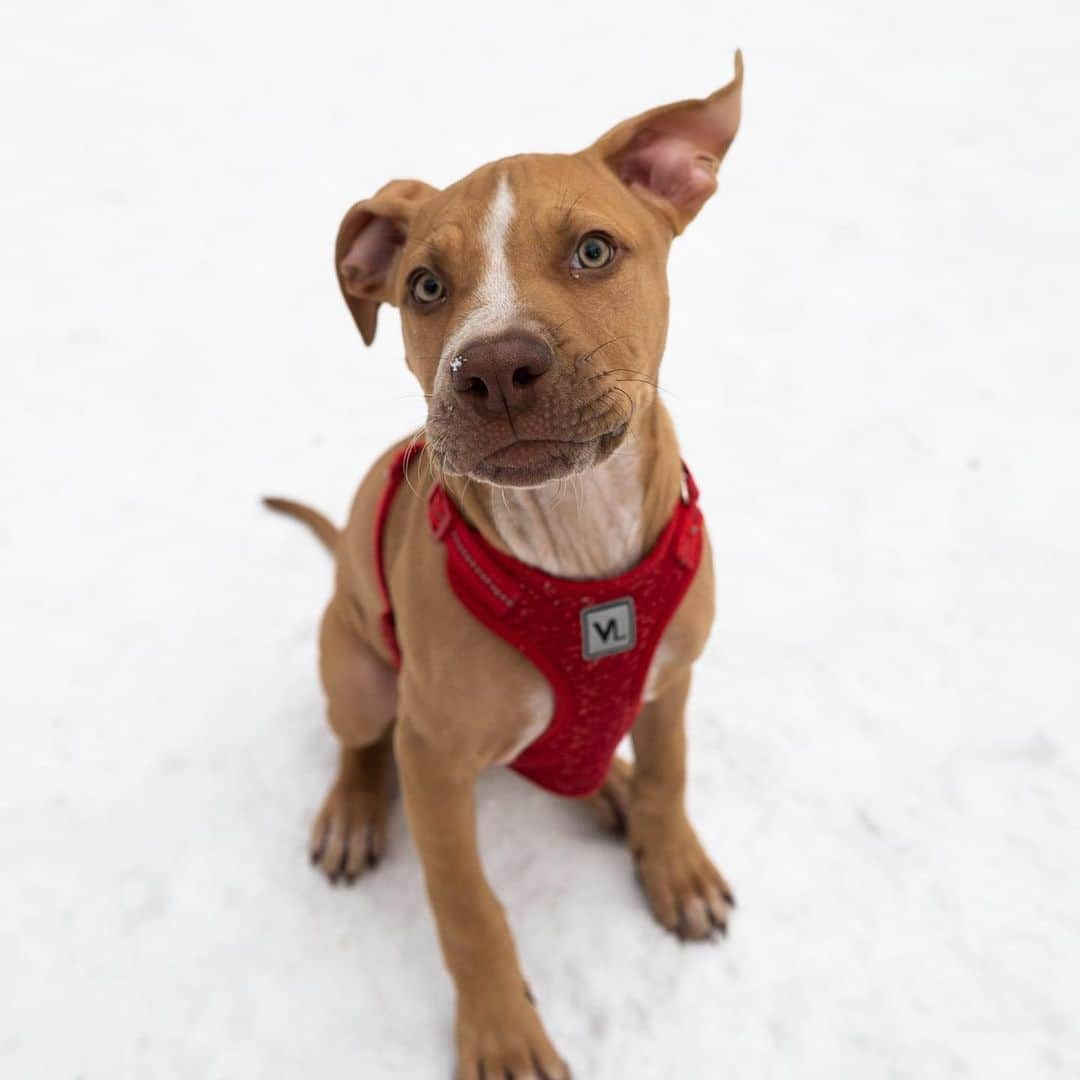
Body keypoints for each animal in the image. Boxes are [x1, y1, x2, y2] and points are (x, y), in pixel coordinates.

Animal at [265, 56, 747, 1080]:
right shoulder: (435, 759)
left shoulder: (675, 678)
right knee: (359, 740)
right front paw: (501, 1033)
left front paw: (674, 864)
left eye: (595, 251)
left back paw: (609, 786)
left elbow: (672, 773)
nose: (492, 368)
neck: (576, 546)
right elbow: (467, 909)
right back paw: (353, 812)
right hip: (357, 672)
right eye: (424, 285)